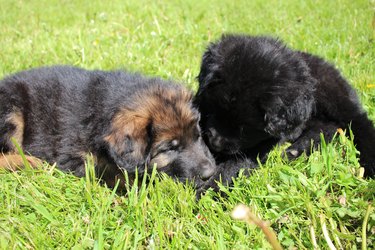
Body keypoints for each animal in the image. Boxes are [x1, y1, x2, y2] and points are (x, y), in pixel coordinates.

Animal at [0, 66, 217, 189]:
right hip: (11, 111)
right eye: (169, 148)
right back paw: (28, 162)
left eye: (198, 136)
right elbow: (113, 173)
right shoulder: (74, 155)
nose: (210, 174)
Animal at [195, 34, 375, 177]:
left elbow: (241, 160)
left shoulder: (270, 139)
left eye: (246, 129)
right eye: (214, 110)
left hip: (334, 95)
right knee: (329, 126)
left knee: (357, 120)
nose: (216, 143)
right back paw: (296, 151)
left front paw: (211, 187)